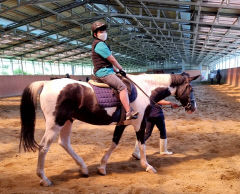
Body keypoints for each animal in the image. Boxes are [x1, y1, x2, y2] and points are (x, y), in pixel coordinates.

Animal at [19, 72, 199, 186]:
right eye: (191, 88)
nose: (193, 107)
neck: (145, 88)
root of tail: (47, 83)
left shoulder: (122, 124)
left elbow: (114, 143)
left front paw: (102, 167)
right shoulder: (140, 123)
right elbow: (142, 144)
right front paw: (147, 166)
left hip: (67, 121)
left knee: (64, 143)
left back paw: (83, 169)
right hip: (55, 123)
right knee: (44, 147)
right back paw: (44, 179)